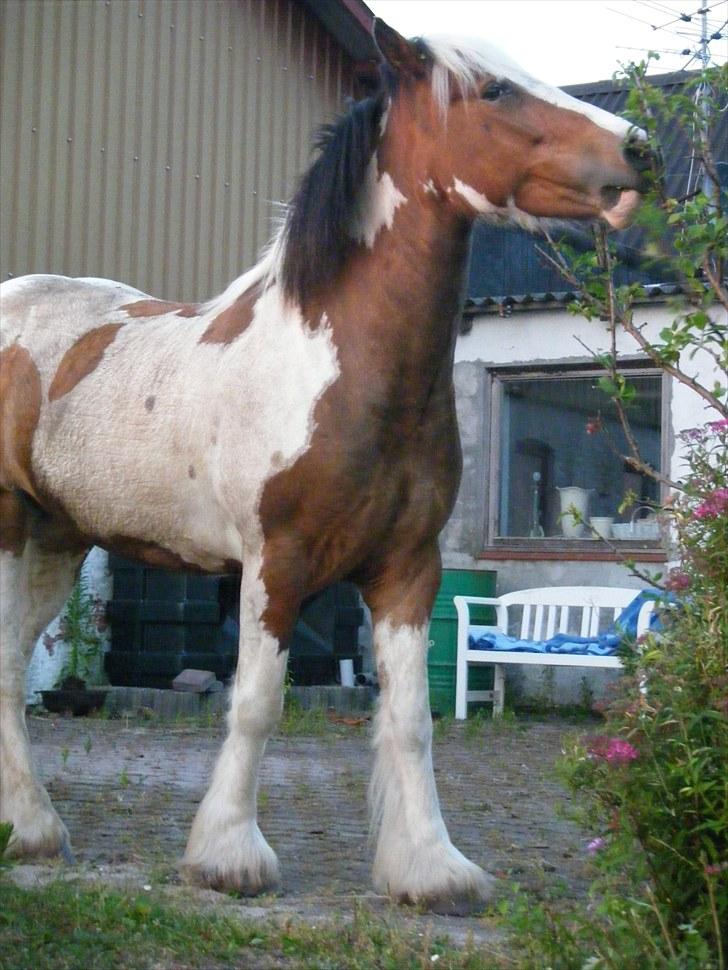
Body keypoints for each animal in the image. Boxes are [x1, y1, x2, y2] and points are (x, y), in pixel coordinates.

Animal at [0, 18, 648, 908]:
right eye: (494, 90)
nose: (638, 149)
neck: (338, 366)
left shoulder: (408, 570)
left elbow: (410, 721)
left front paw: (430, 868)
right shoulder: (277, 565)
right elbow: (257, 705)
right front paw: (228, 857)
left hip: (56, 540)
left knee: (7, 667)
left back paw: (31, 828)